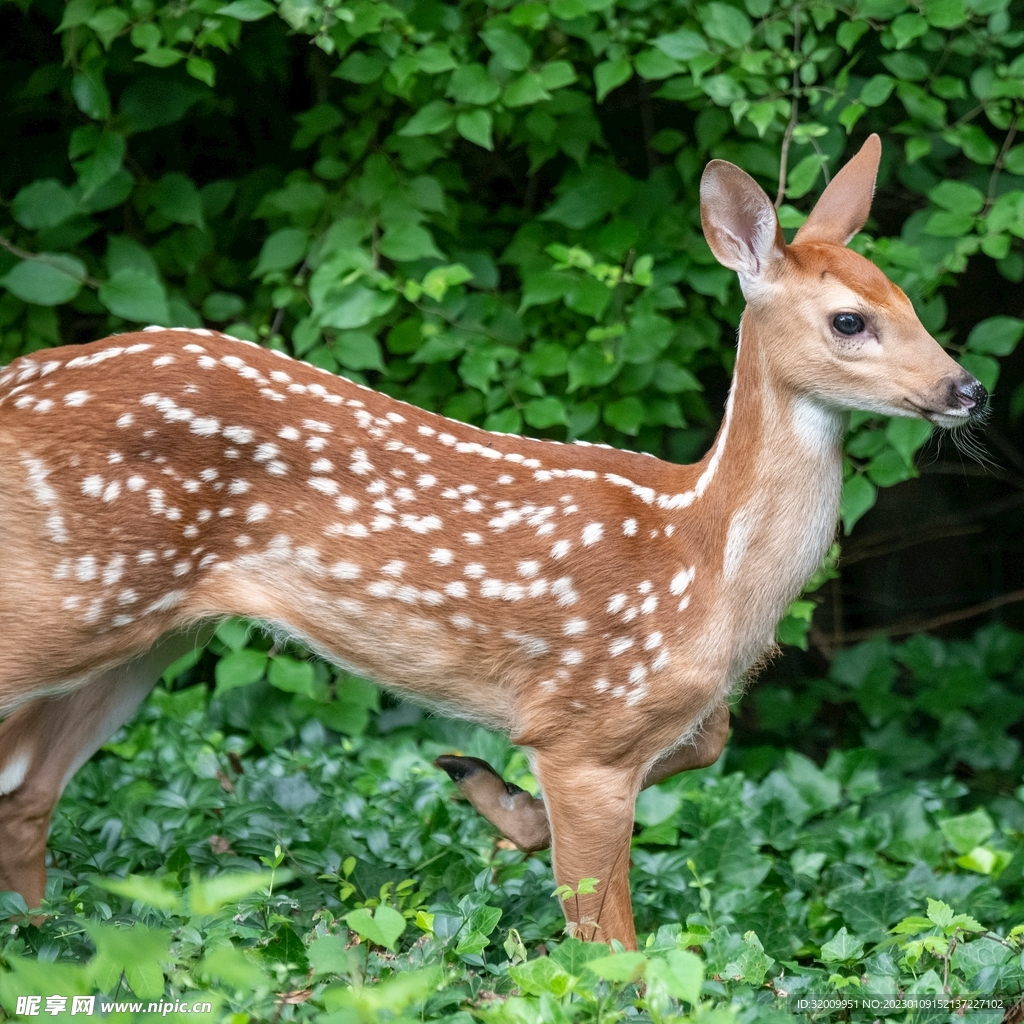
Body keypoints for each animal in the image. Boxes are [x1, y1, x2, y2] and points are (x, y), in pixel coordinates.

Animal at [0, 134, 986, 951]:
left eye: (911, 301)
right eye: (850, 320)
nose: (966, 389)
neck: (707, 560)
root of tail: (17, 378)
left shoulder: (639, 725)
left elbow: (703, 748)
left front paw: (487, 790)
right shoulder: (587, 723)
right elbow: (610, 949)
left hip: (148, 631)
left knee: (28, 790)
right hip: (67, 592)